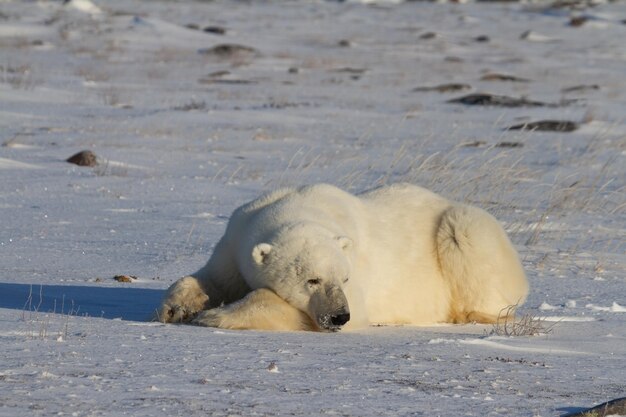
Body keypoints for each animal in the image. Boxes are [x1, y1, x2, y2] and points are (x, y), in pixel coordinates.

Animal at [154, 184, 524, 330]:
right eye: (312, 279)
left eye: (343, 278)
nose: (338, 316)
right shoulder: (236, 237)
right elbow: (214, 277)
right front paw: (177, 308)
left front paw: (216, 316)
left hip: (465, 229)